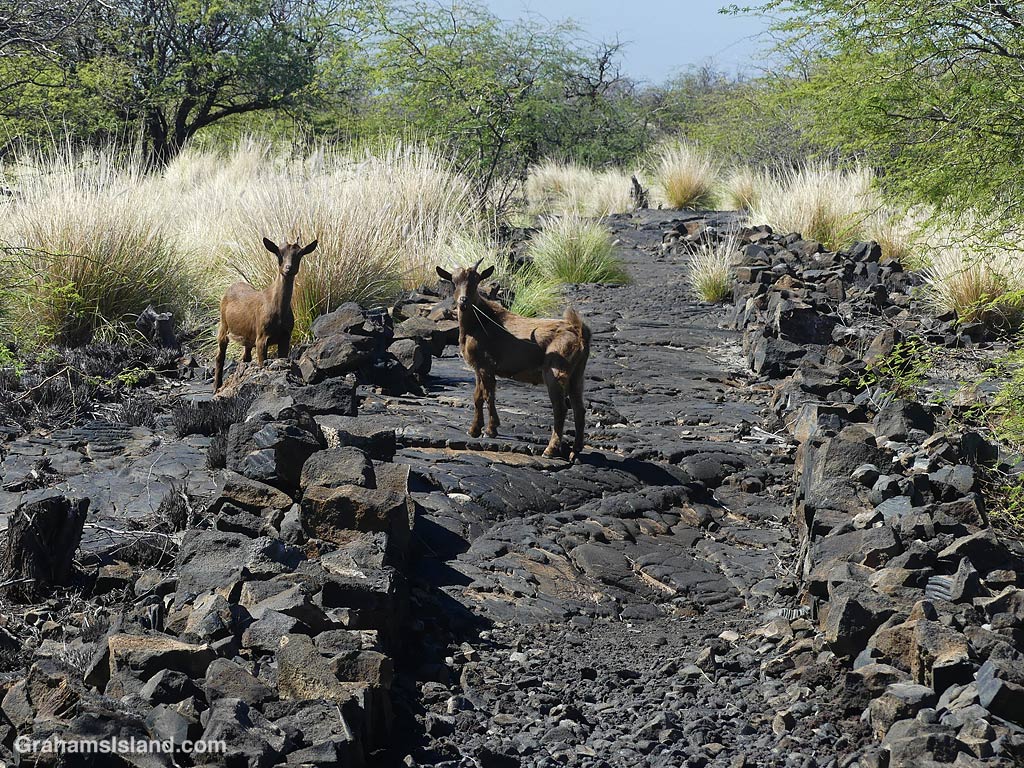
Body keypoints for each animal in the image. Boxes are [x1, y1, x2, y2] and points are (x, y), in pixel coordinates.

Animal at [213, 237, 317, 391]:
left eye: (299, 254)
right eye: (279, 253)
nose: (288, 268)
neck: (278, 312)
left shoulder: (285, 336)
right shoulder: (262, 337)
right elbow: (262, 364)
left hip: (248, 335)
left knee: (245, 357)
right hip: (223, 325)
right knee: (220, 356)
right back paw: (216, 387)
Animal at [436, 260, 591, 459]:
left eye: (476, 281)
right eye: (454, 282)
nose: (463, 301)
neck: (480, 321)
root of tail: (579, 332)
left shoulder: (486, 365)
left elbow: (488, 395)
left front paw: (489, 430)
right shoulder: (479, 367)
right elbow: (478, 396)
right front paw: (476, 430)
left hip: (555, 372)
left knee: (561, 408)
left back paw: (550, 449)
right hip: (577, 374)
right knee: (579, 409)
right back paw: (575, 451)